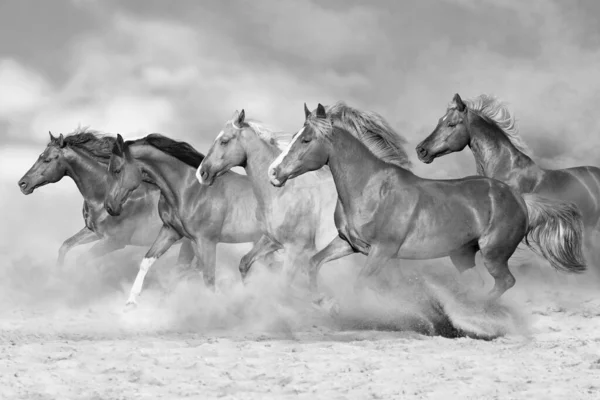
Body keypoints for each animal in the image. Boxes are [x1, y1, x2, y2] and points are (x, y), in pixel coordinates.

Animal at [17, 130, 195, 268]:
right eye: (40, 156)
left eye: (47, 159)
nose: (22, 184)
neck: (102, 196)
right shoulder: (93, 232)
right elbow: (65, 246)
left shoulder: (114, 242)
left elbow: (81, 260)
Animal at [103, 134, 278, 306]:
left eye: (117, 170)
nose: (109, 207)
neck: (190, 190)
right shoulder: (172, 231)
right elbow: (150, 260)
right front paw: (131, 302)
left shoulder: (206, 241)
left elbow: (207, 277)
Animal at [196, 109, 338, 284]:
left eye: (224, 141)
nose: (201, 173)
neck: (282, 194)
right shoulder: (273, 240)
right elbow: (244, 263)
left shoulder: (296, 250)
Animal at [268, 101, 584, 304]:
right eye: (296, 136)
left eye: (306, 140)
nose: (273, 172)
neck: (370, 187)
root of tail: (521, 198)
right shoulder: (350, 244)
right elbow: (313, 263)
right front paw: (320, 299)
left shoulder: (382, 251)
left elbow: (361, 284)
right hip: (462, 255)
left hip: (493, 254)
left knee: (504, 282)